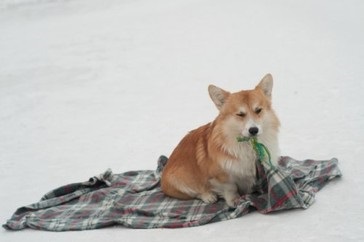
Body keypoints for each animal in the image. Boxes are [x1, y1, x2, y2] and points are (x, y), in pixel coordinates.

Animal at [161, 74, 280, 208]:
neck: (247, 145)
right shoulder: (220, 176)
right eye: (240, 114)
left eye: (258, 110)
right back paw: (208, 196)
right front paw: (234, 200)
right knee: (196, 192)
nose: (253, 130)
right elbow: (230, 187)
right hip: (179, 180)